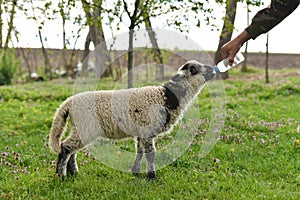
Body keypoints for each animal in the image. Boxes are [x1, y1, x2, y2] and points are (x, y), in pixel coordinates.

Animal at [48, 59, 213, 180]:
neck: (166, 97)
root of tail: (68, 103)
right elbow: (150, 154)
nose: (212, 69)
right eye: (193, 69)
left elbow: (139, 152)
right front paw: (152, 177)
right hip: (85, 126)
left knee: (72, 150)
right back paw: (61, 175)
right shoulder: (147, 129)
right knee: (65, 148)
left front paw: (135, 172)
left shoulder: (141, 132)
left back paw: (73, 173)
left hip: (80, 128)